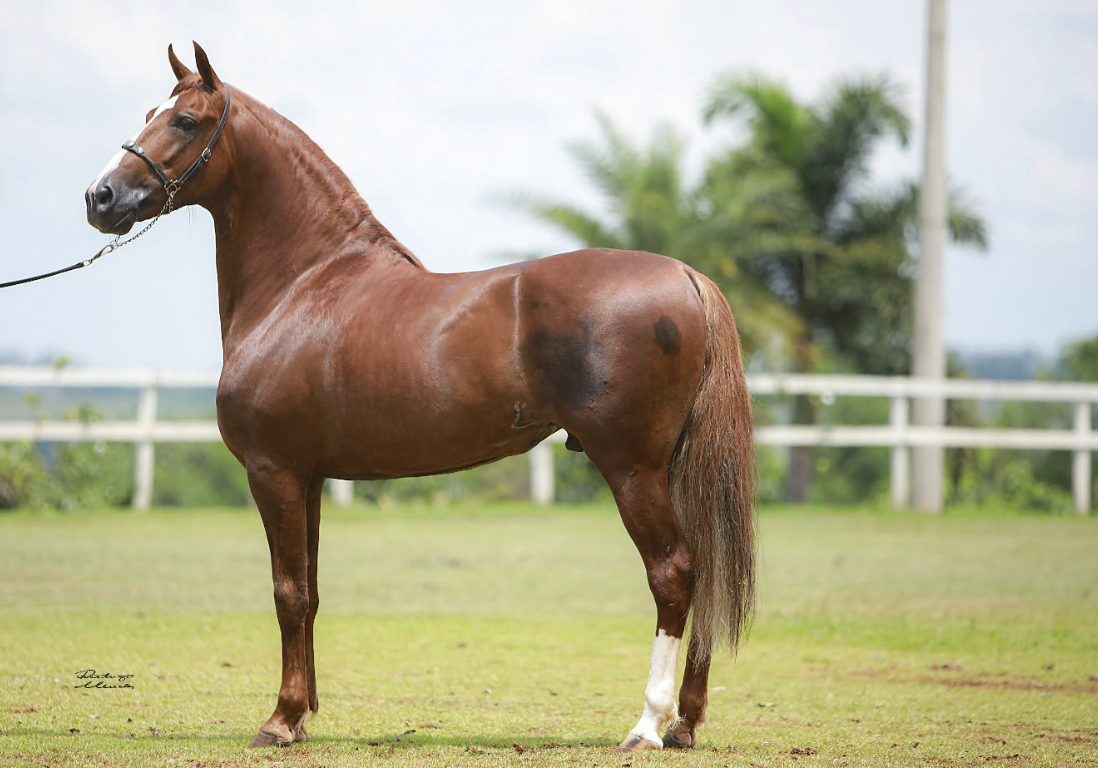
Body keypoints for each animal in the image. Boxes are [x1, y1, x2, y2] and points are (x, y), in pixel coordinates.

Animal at [84, 42, 756, 752]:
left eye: (185, 121)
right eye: (151, 112)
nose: (100, 197)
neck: (303, 286)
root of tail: (685, 275)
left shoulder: (274, 471)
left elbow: (287, 592)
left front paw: (280, 720)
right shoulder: (309, 477)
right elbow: (310, 591)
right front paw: (304, 713)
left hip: (632, 469)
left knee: (673, 573)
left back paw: (648, 724)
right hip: (671, 467)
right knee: (705, 570)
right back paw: (685, 722)